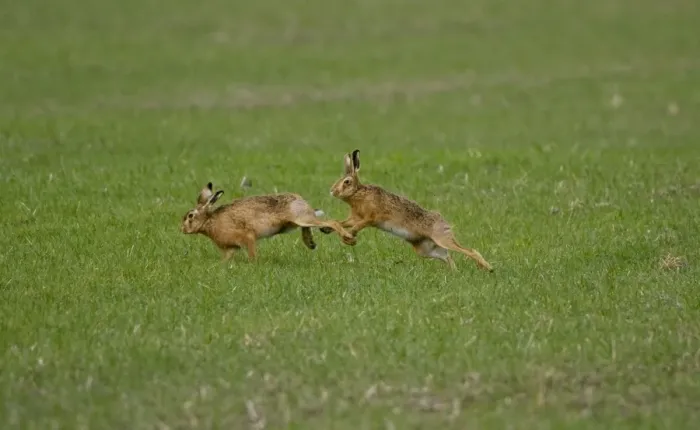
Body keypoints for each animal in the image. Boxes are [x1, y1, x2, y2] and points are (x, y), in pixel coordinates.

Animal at [181, 182, 357, 261]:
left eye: (190, 216)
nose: (181, 229)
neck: (209, 221)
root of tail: (300, 200)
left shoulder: (247, 237)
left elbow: (252, 254)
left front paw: (253, 265)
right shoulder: (230, 248)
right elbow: (226, 259)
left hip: (301, 218)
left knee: (332, 222)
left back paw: (348, 239)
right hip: (298, 222)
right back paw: (310, 243)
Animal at [324, 150, 493, 271]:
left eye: (346, 182)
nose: (332, 191)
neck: (358, 194)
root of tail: (442, 221)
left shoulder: (371, 217)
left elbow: (359, 225)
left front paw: (350, 237)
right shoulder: (354, 217)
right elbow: (340, 222)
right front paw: (330, 229)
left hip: (441, 238)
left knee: (469, 250)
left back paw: (488, 268)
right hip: (426, 249)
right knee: (447, 256)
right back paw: (455, 272)